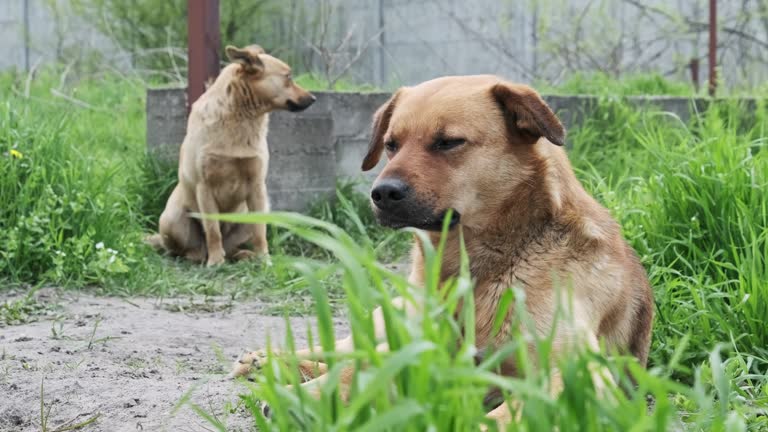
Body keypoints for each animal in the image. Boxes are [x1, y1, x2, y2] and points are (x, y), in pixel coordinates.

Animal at [147, 44, 316, 266]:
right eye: (288, 77)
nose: (314, 98)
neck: (239, 117)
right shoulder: (204, 188)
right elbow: (213, 231)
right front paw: (215, 262)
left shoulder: (257, 187)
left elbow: (260, 232)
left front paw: (265, 260)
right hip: (171, 219)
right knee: (186, 249)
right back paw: (202, 256)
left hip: (258, 209)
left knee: (235, 246)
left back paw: (245, 255)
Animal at [231, 76, 652, 426]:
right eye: (391, 145)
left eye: (448, 142)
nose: (381, 194)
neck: (484, 268)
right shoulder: (425, 347)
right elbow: (364, 368)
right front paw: (307, 397)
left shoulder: (575, 371)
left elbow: (505, 414)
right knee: (350, 348)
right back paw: (270, 361)